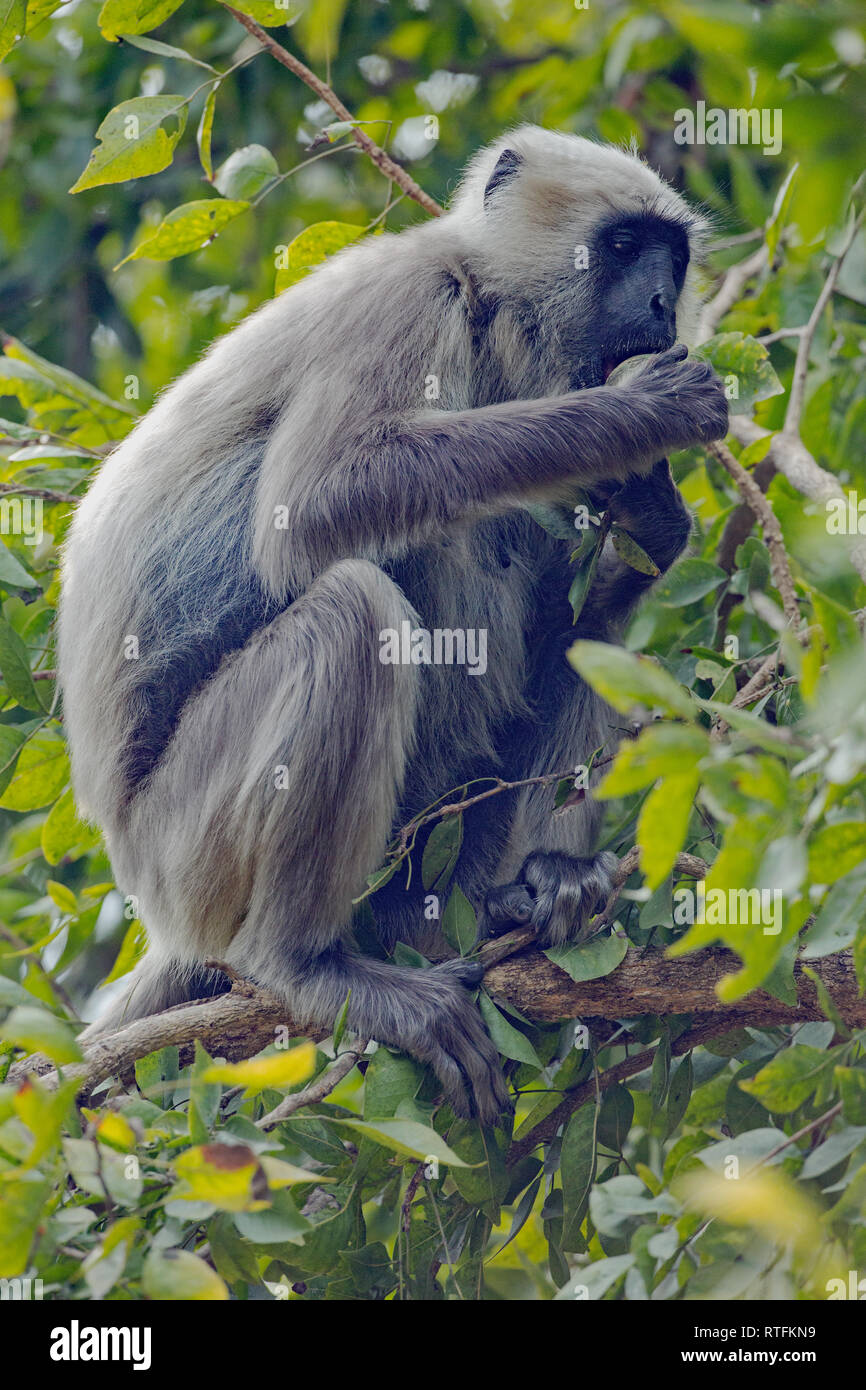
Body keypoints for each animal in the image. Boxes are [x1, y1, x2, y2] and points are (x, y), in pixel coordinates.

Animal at [57, 125, 728, 1123]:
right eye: (620, 246)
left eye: (671, 257)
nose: (658, 301)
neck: (490, 316)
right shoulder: (407, 298)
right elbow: (316, 501)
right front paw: (642, 414)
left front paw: (654, 508)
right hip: (186, 854)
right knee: (354, 607)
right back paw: (307, 964)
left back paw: (517, 892)